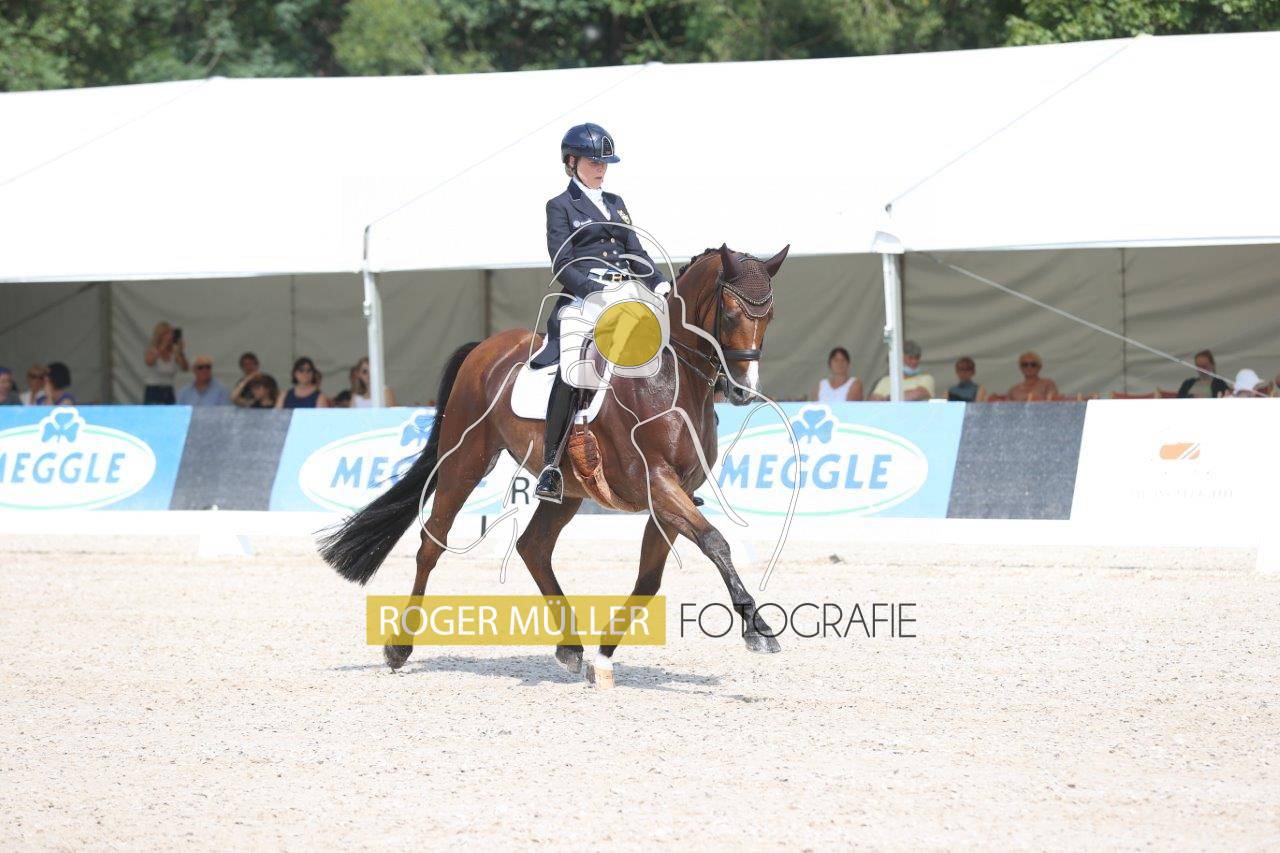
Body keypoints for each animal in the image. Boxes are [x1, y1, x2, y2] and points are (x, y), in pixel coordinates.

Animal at [319, 243, 790, 684]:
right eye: (731, 313)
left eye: (769, 316)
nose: (742, 390)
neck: (670, 379)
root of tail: (483, 347)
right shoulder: (657, 483)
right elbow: (715, 542)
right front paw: (758, 628)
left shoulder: (677, 494)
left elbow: (649, 580)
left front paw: (604, 654)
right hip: (464, 462)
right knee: (431, 543)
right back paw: (399, 648)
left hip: (567, 488)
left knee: (534, 547)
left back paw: (571, 647)